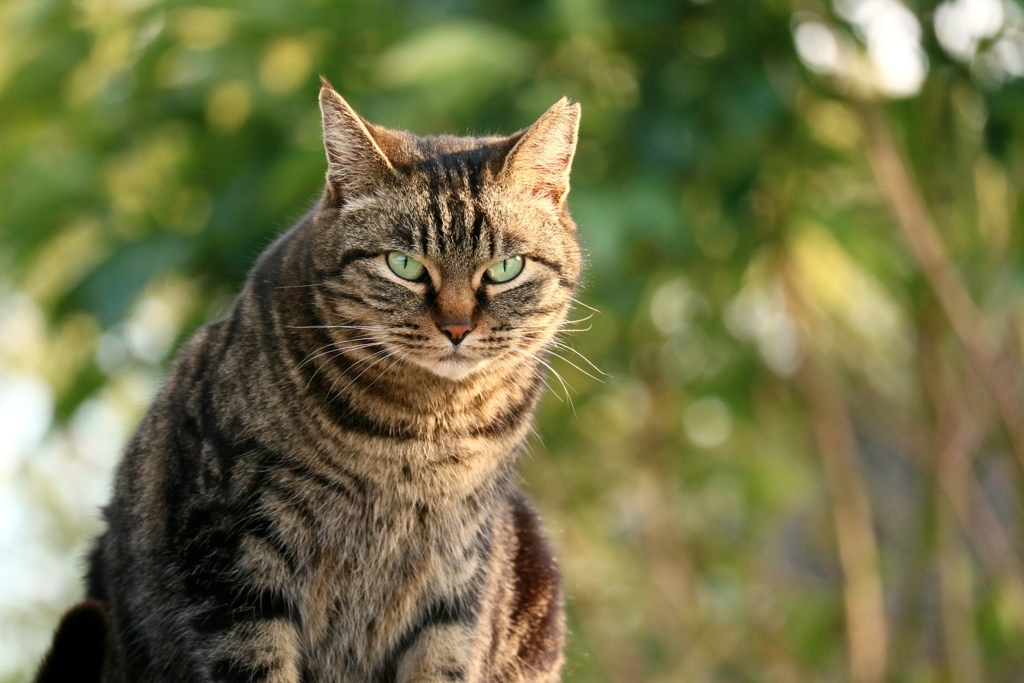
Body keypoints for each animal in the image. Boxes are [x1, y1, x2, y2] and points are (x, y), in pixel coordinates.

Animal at [34, 80, 585, 683]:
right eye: (404, 265)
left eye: (506, 268)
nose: (457, 327)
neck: (426, 429)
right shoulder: (235, 568)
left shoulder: (457, 581)